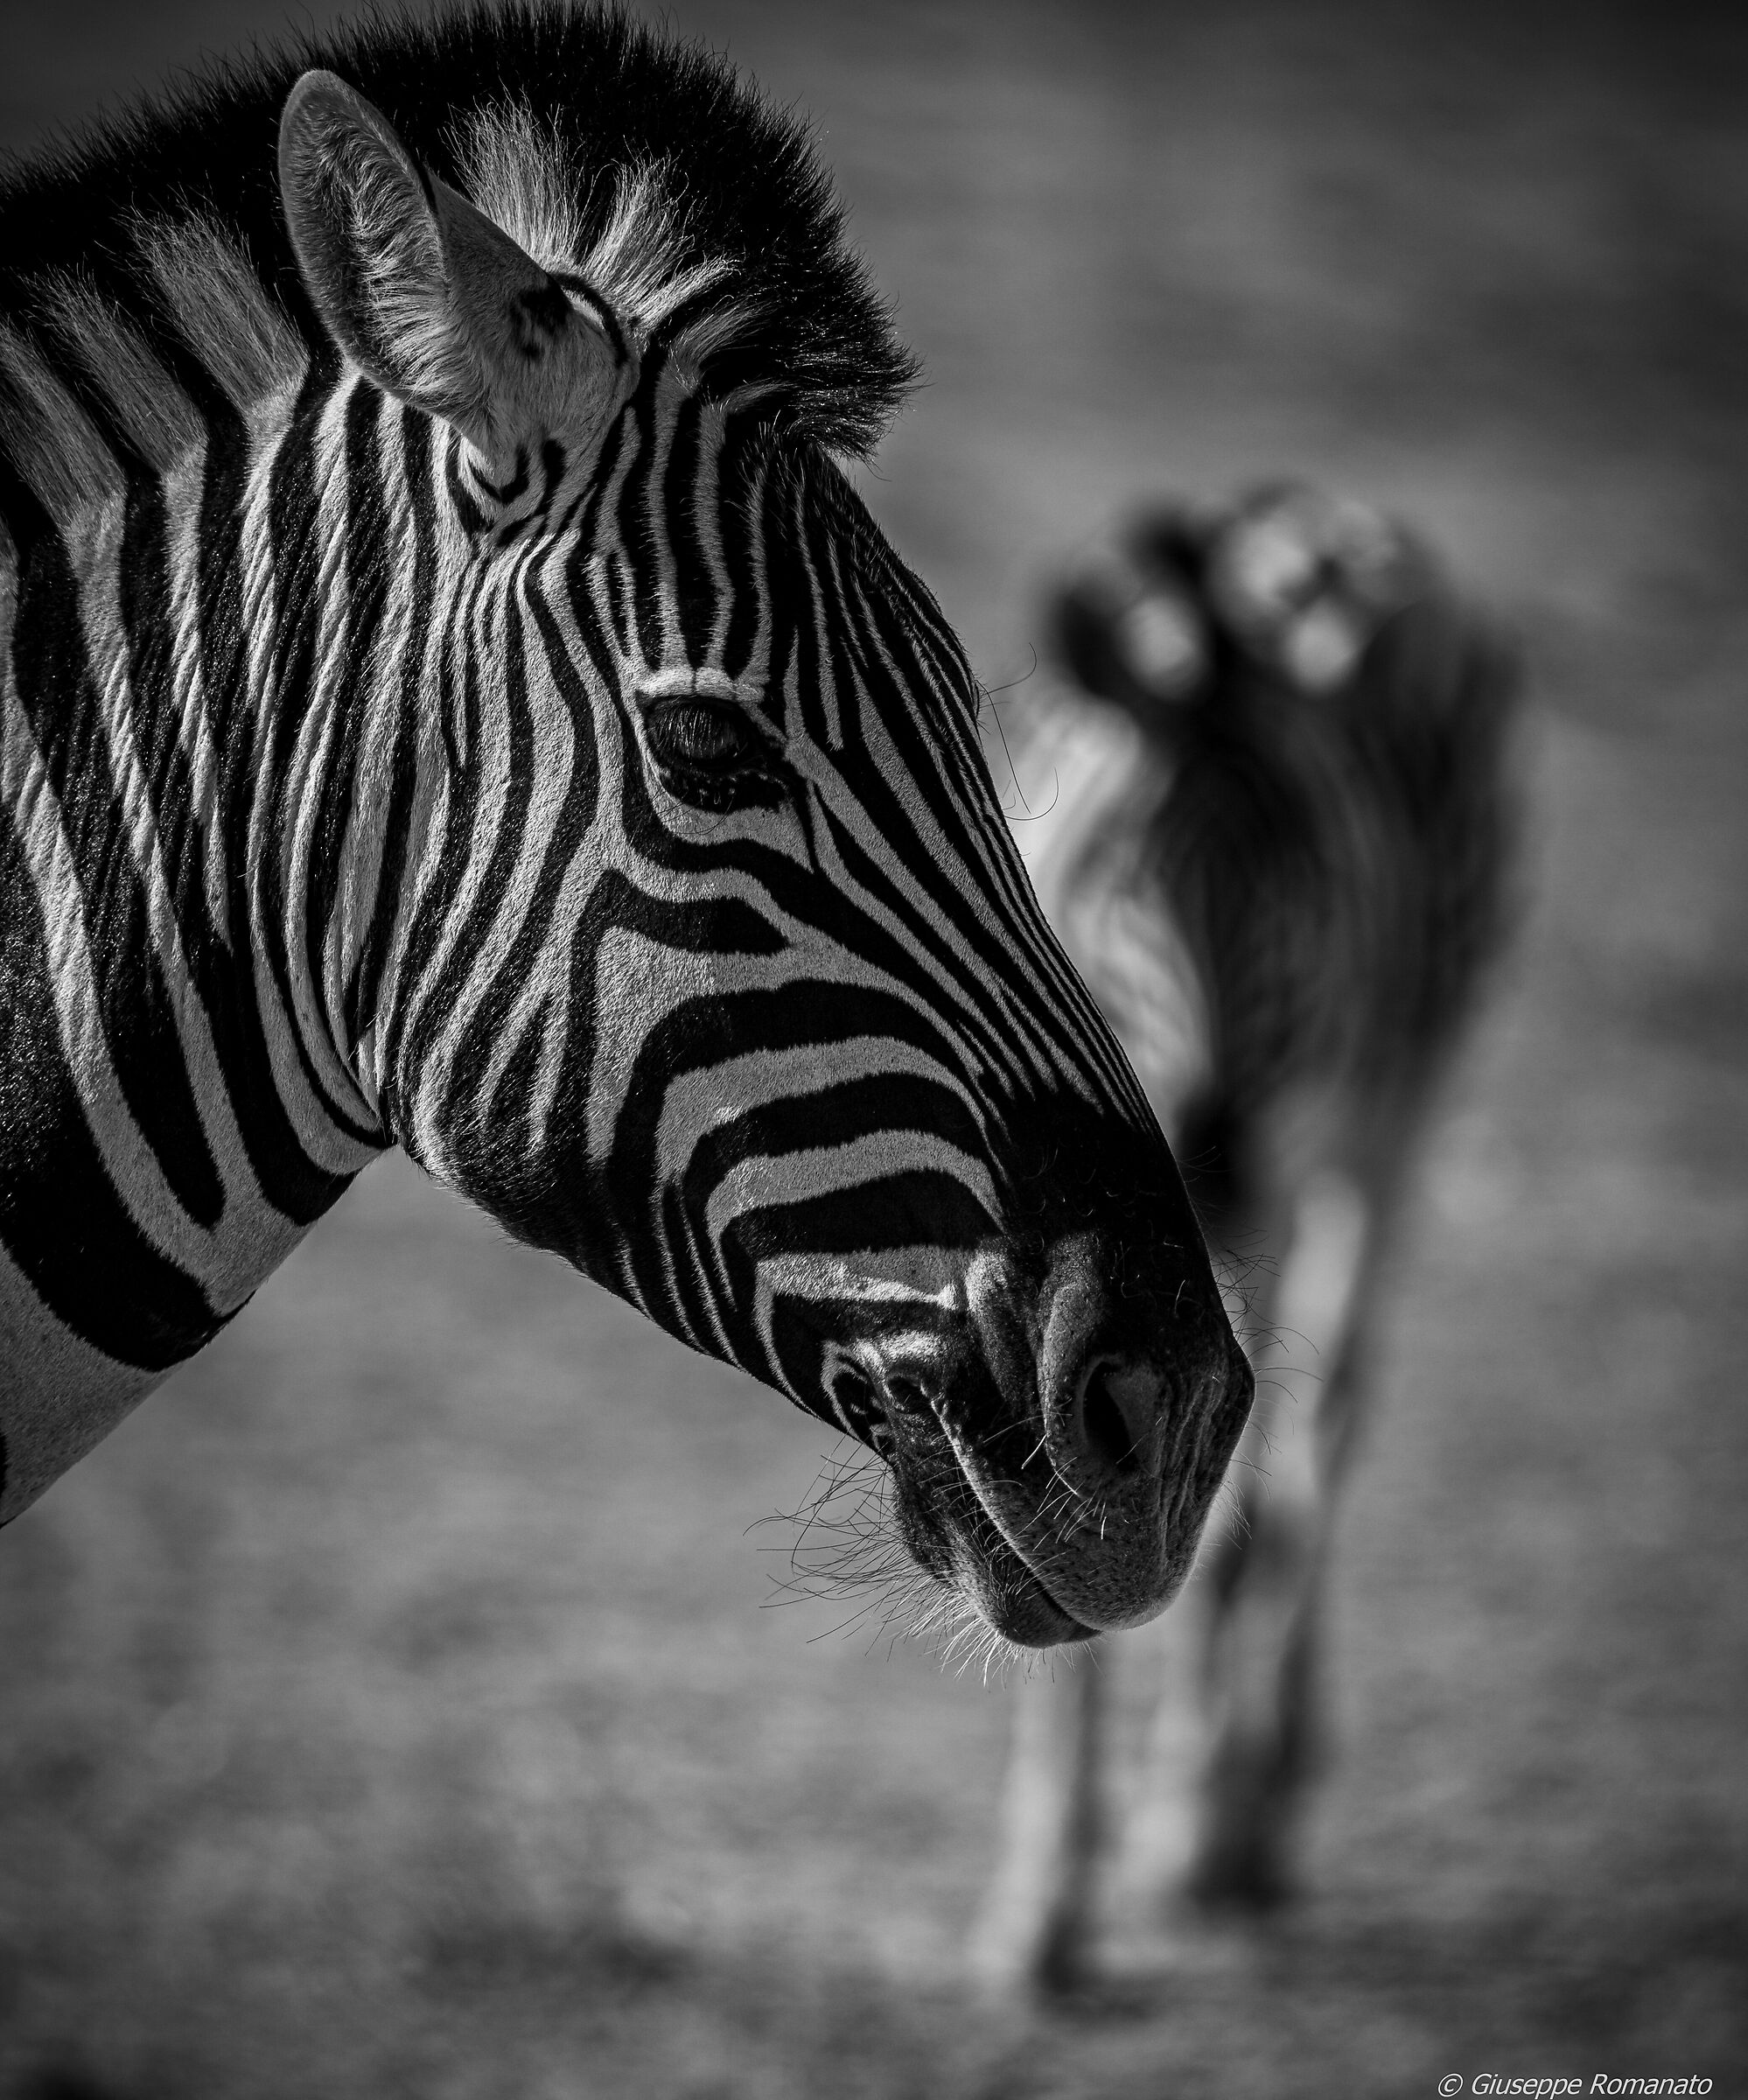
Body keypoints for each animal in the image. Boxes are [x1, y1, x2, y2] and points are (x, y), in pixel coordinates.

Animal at [970, 483, 1520, 1989]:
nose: (1208, 1163)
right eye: (1119, 879)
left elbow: (1219, 1512)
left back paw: (1243, 1810)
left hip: (1395, 1107)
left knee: (1321, 1432)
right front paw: (1041, 1904)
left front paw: (1173, 1836)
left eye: (1300, 899)